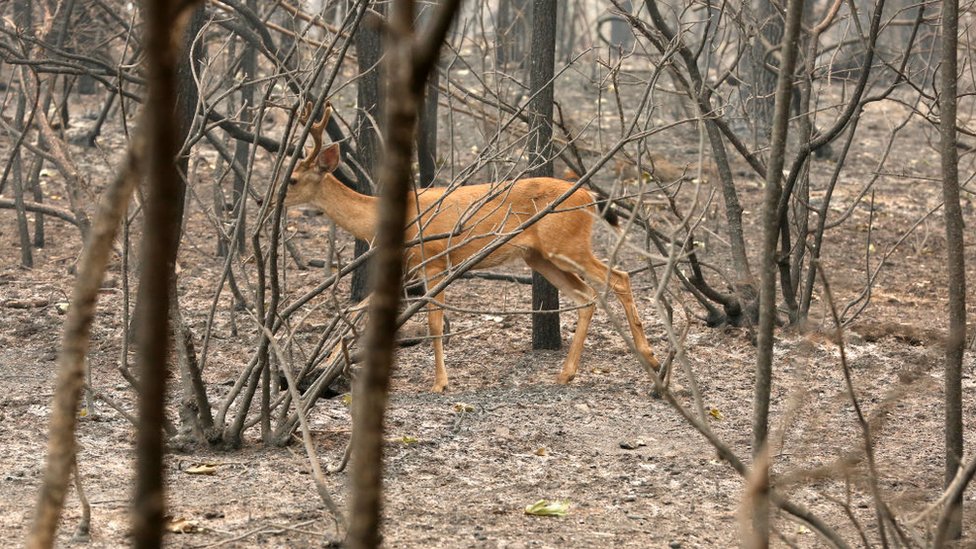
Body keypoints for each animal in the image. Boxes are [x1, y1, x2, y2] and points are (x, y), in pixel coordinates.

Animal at [284, 103, 664, 392]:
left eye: (293, 180)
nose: (272, 199)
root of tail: (588, 195)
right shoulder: (406, 268)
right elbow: (358, 309)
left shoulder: (435, 262)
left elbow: (434, 324)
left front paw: (440, 383)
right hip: (539, 257)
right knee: (587, 296)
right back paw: (566, 373)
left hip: (567, 244)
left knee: (619, 277)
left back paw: (651, 358)